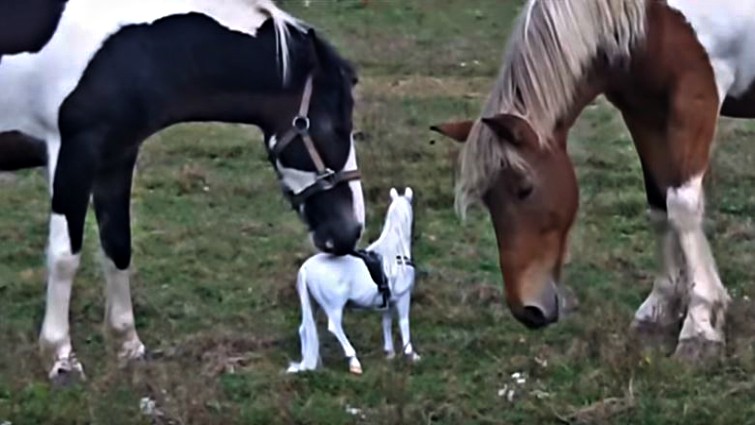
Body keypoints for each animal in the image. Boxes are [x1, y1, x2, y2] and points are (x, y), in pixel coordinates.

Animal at [0, 0, 366, 383]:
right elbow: (64, 258)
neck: (132, 50)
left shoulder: (117, 157)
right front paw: (61, 358)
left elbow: (118, 246)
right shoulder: (73, 154)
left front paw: (128, 345)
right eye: (331, 124)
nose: (350, 231)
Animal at [287, 187, 419, 375]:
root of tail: (305, 268)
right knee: (334, 327)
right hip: (334, 306)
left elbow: (386, 323)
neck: (395, 253)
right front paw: (411, 354)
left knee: (305, 328)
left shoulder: (387, 302)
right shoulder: (402, 298)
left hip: (313, 304)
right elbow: (403, 322)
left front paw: (390, 353)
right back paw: (354, 361)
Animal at [431, 0, 755, 363]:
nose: (527, 310)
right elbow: (659, 206)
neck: (653, 17)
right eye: (488, 199)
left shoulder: (696, 99)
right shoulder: (643, 112)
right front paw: (659, 308)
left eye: (525, 189)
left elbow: (682, 208)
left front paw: (700, 326)